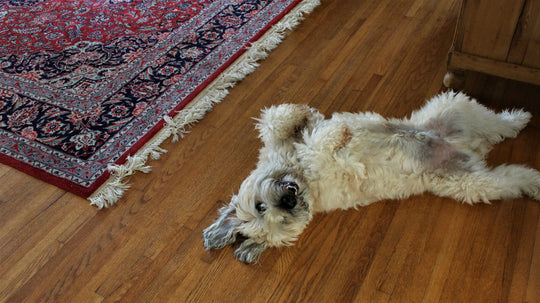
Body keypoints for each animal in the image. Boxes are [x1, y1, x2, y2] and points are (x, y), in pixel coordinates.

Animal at [202, 92, 540, 264]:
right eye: (280, 221)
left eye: (261, 206)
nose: (288, 201)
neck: (305, 180)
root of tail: (469, 147)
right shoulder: (336, 171)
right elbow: (320, 147)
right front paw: (331, 136)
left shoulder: (281, 146)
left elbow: (276, 120)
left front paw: (308, 119)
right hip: (472, 181)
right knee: (511, 174)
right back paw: (534, 180)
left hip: (452, 109)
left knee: (494, 122)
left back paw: (518, 117)